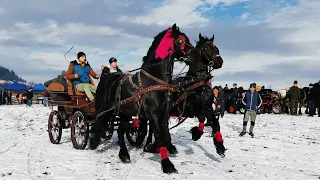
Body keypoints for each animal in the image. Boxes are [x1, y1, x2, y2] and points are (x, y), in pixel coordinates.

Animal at [89, 23, 195, 174]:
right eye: (181, 40)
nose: (195, 55)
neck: (153, 81)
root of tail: (106, 77)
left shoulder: (163, 113)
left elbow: (164, 134)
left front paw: (154, 148)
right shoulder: (153, 114)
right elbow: (160, 136)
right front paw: (167, 165)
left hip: (124, 113)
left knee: (120, 131)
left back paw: (124, 155)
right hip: (104, 110)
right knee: (97, 124)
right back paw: (93, 142)